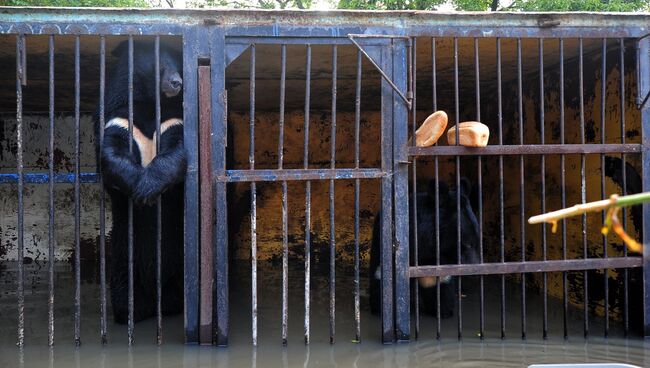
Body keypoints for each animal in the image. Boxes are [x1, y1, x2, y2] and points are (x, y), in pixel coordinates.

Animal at [97, 38, 186, 324]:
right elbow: (111, 153)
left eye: (179, 65)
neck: (149, 106)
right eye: (160, 66)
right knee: (123, 287)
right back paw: (129, 312)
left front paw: (147, 188)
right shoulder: (119, 117)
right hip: (123, 254)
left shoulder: (174, 119)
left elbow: (177, 150)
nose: (177, 83)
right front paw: (140, 189)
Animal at [368, 177, 478, 318]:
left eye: (476, 242)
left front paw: (443, 309)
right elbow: (384, 278)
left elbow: (437, 282)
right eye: (467, 244)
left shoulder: (435, 259)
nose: (474, 270)